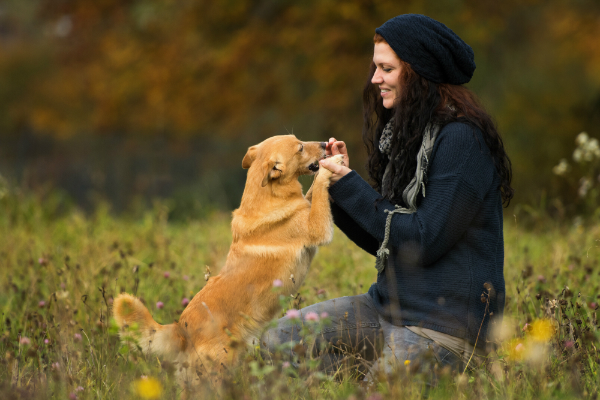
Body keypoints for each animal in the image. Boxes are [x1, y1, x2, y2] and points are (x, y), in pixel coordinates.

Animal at [113, 134, 344, 388]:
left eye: (299, 140)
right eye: (300, 147)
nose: (325, 144)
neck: (268, 195)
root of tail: (181, 329)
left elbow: (311, 193)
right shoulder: (318, 227)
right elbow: (319, 188)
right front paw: (333, 164)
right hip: (215, 374)